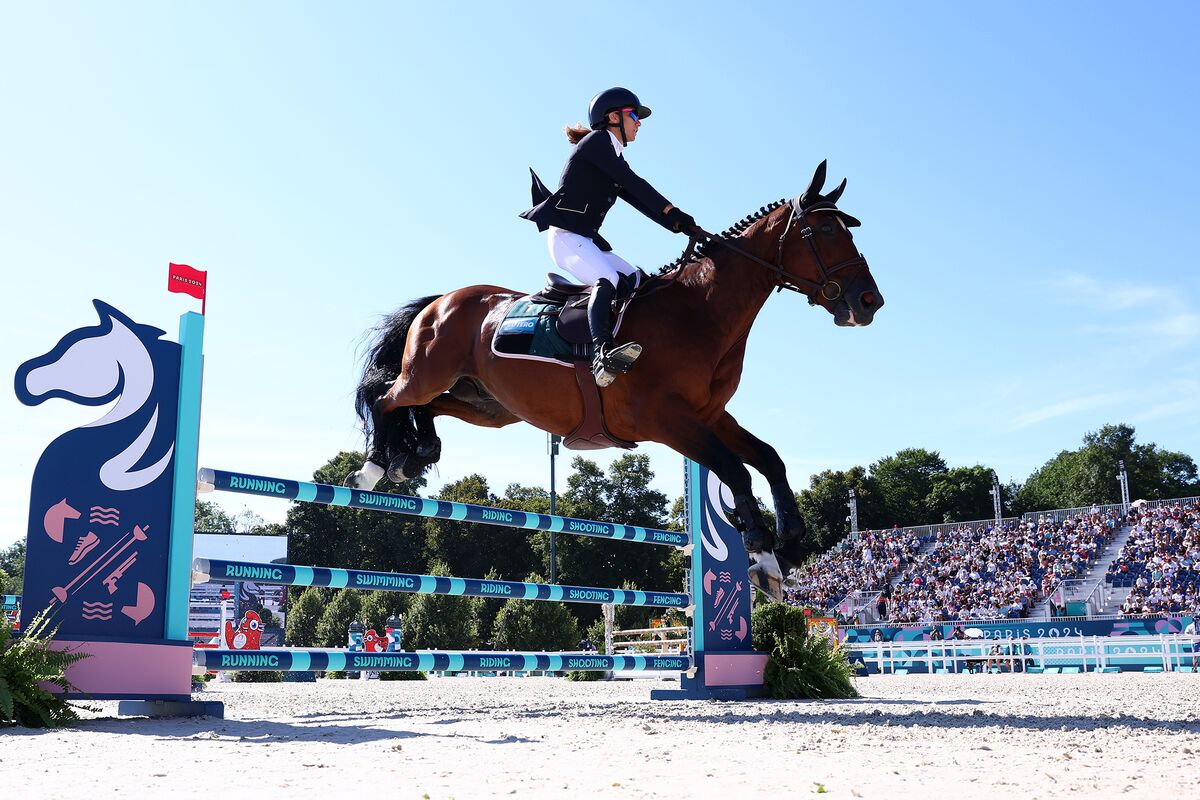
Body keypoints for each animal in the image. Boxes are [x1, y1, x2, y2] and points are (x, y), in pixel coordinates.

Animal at [345, 162, 884, 600]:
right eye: (825, 230)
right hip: (426, 374)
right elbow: (735, 470)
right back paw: (373, 467)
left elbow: (768, 458)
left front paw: (786, 544)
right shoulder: (665, 420)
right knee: (386, 396)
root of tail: (442, 300)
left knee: (427, 408)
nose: (868, 302)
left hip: (489, 407)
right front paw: (761, 550)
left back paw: (414, 454)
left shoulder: (709, 415)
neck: (700, 310)